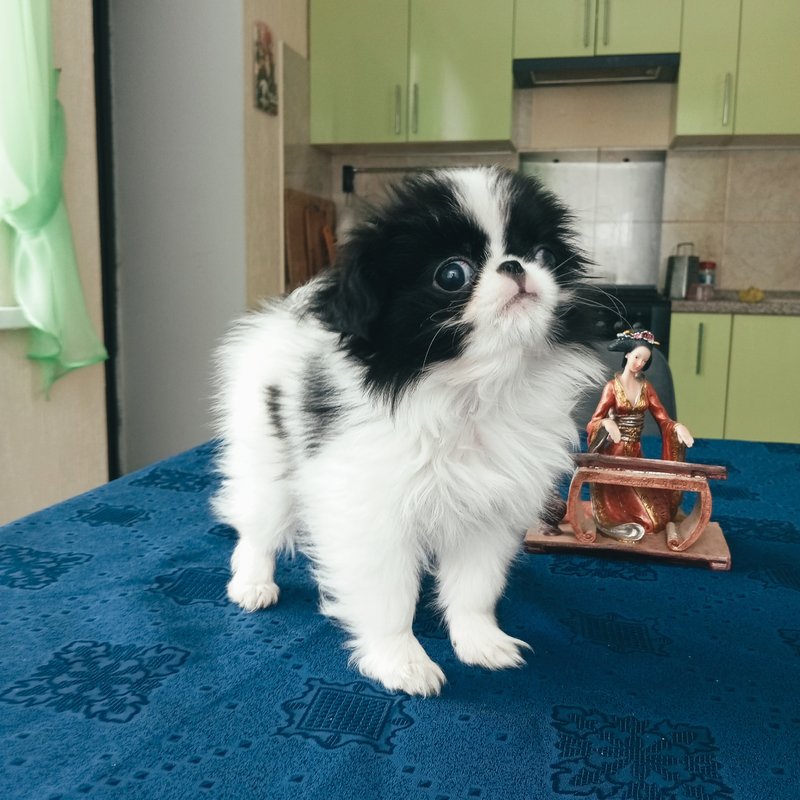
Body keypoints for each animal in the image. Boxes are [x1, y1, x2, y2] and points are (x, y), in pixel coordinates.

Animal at [212, 166, 600, 696]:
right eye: (451, 275)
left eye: (542, 255)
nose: (517, 266)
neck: (472, 392)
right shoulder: (372, 514)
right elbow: (390, 595)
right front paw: (401, 661)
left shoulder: (488, 510)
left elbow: (475, 588)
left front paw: (482, 642)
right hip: (265, 461)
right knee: (257, 526)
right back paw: (252, 583)